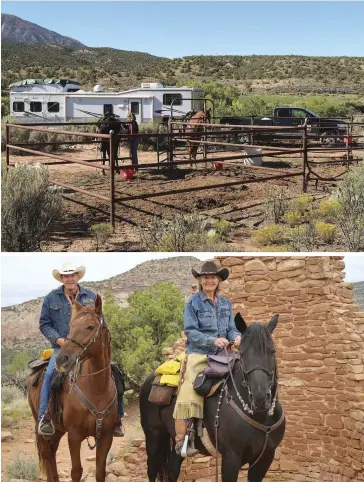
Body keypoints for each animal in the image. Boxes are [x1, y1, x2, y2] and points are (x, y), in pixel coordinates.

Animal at [27, 294, 118, 482]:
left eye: (90, 327)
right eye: (71, 326)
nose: (62, 359)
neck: (97, 389)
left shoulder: (106, 436)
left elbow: (100, 471)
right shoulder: (74, 436)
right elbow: (76, 471)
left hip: (57, 430)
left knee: (52, 454)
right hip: (40, 425)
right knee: (46, 454)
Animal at [139, 312, 284, 482]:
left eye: (272, 352)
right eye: (242, 354)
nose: (260, 398)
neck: (261, 417)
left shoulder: (265, 458)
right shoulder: (231, 458)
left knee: (172, 469)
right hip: (153, 438)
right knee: (152, 470)